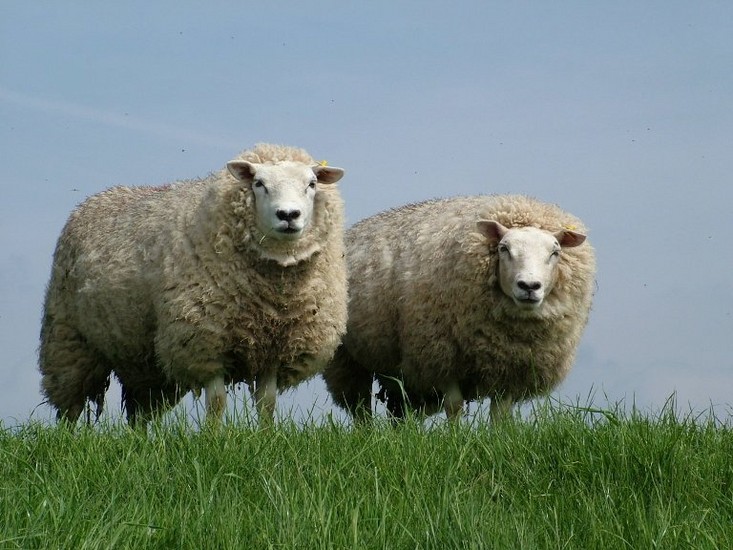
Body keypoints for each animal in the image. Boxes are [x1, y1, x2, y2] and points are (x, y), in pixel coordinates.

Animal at [39, 143, 347, 426]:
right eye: (259, 183)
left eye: (312, 184)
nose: (288, 215)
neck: (274, 295)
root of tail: (94, 199)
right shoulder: (205, 340)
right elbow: (217, 402)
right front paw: (214, 438)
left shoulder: (275, 347)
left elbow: (267, 404)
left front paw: (266, 435)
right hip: (68, 338)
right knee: (69, 405)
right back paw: (66, 437)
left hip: (143, 359)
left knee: (140, 410)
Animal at [322, 194, 596, 423]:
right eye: (503, 248)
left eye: (555, 252)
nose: (529, 286)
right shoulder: (440, 355)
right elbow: (453, 406)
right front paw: (456, 438)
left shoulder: (509, 367)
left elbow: (500, 413)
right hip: (347, 360)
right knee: (359, 407)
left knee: (398, 410)